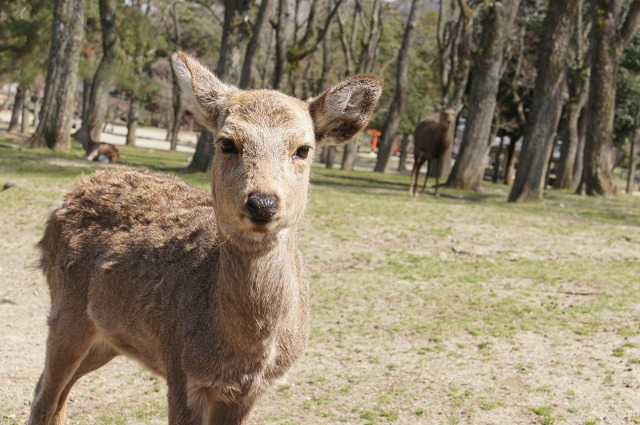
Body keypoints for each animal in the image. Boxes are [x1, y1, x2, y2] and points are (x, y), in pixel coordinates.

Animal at [28, 52, 382, 425]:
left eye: (303, 149)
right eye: (227, 142)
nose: (262, 203)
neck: (243, 354)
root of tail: (66, 195)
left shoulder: (249, 391)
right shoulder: (180, 369)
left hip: (108, 337)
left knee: (58, 394)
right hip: (66, 306)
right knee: (43, 395)